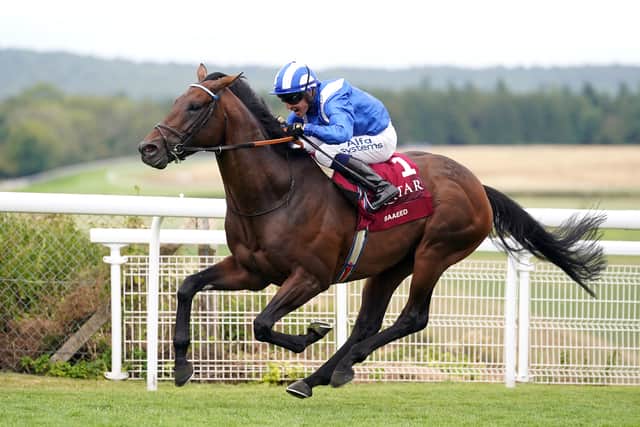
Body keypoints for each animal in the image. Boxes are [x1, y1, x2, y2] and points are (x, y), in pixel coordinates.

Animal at [138, 64, 606, 398]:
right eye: (177, 100)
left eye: (195, 107)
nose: (149, 148)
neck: (276, 191)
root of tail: (477, 187)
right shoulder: (251, 270)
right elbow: (188, 286)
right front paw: (181, 365)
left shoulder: (311, 277)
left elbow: (262, 323)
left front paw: (310, 334)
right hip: (390, 265)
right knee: (367, 322)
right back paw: (316, 378)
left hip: (436, 252)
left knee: (412, 317)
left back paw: (343, 365)